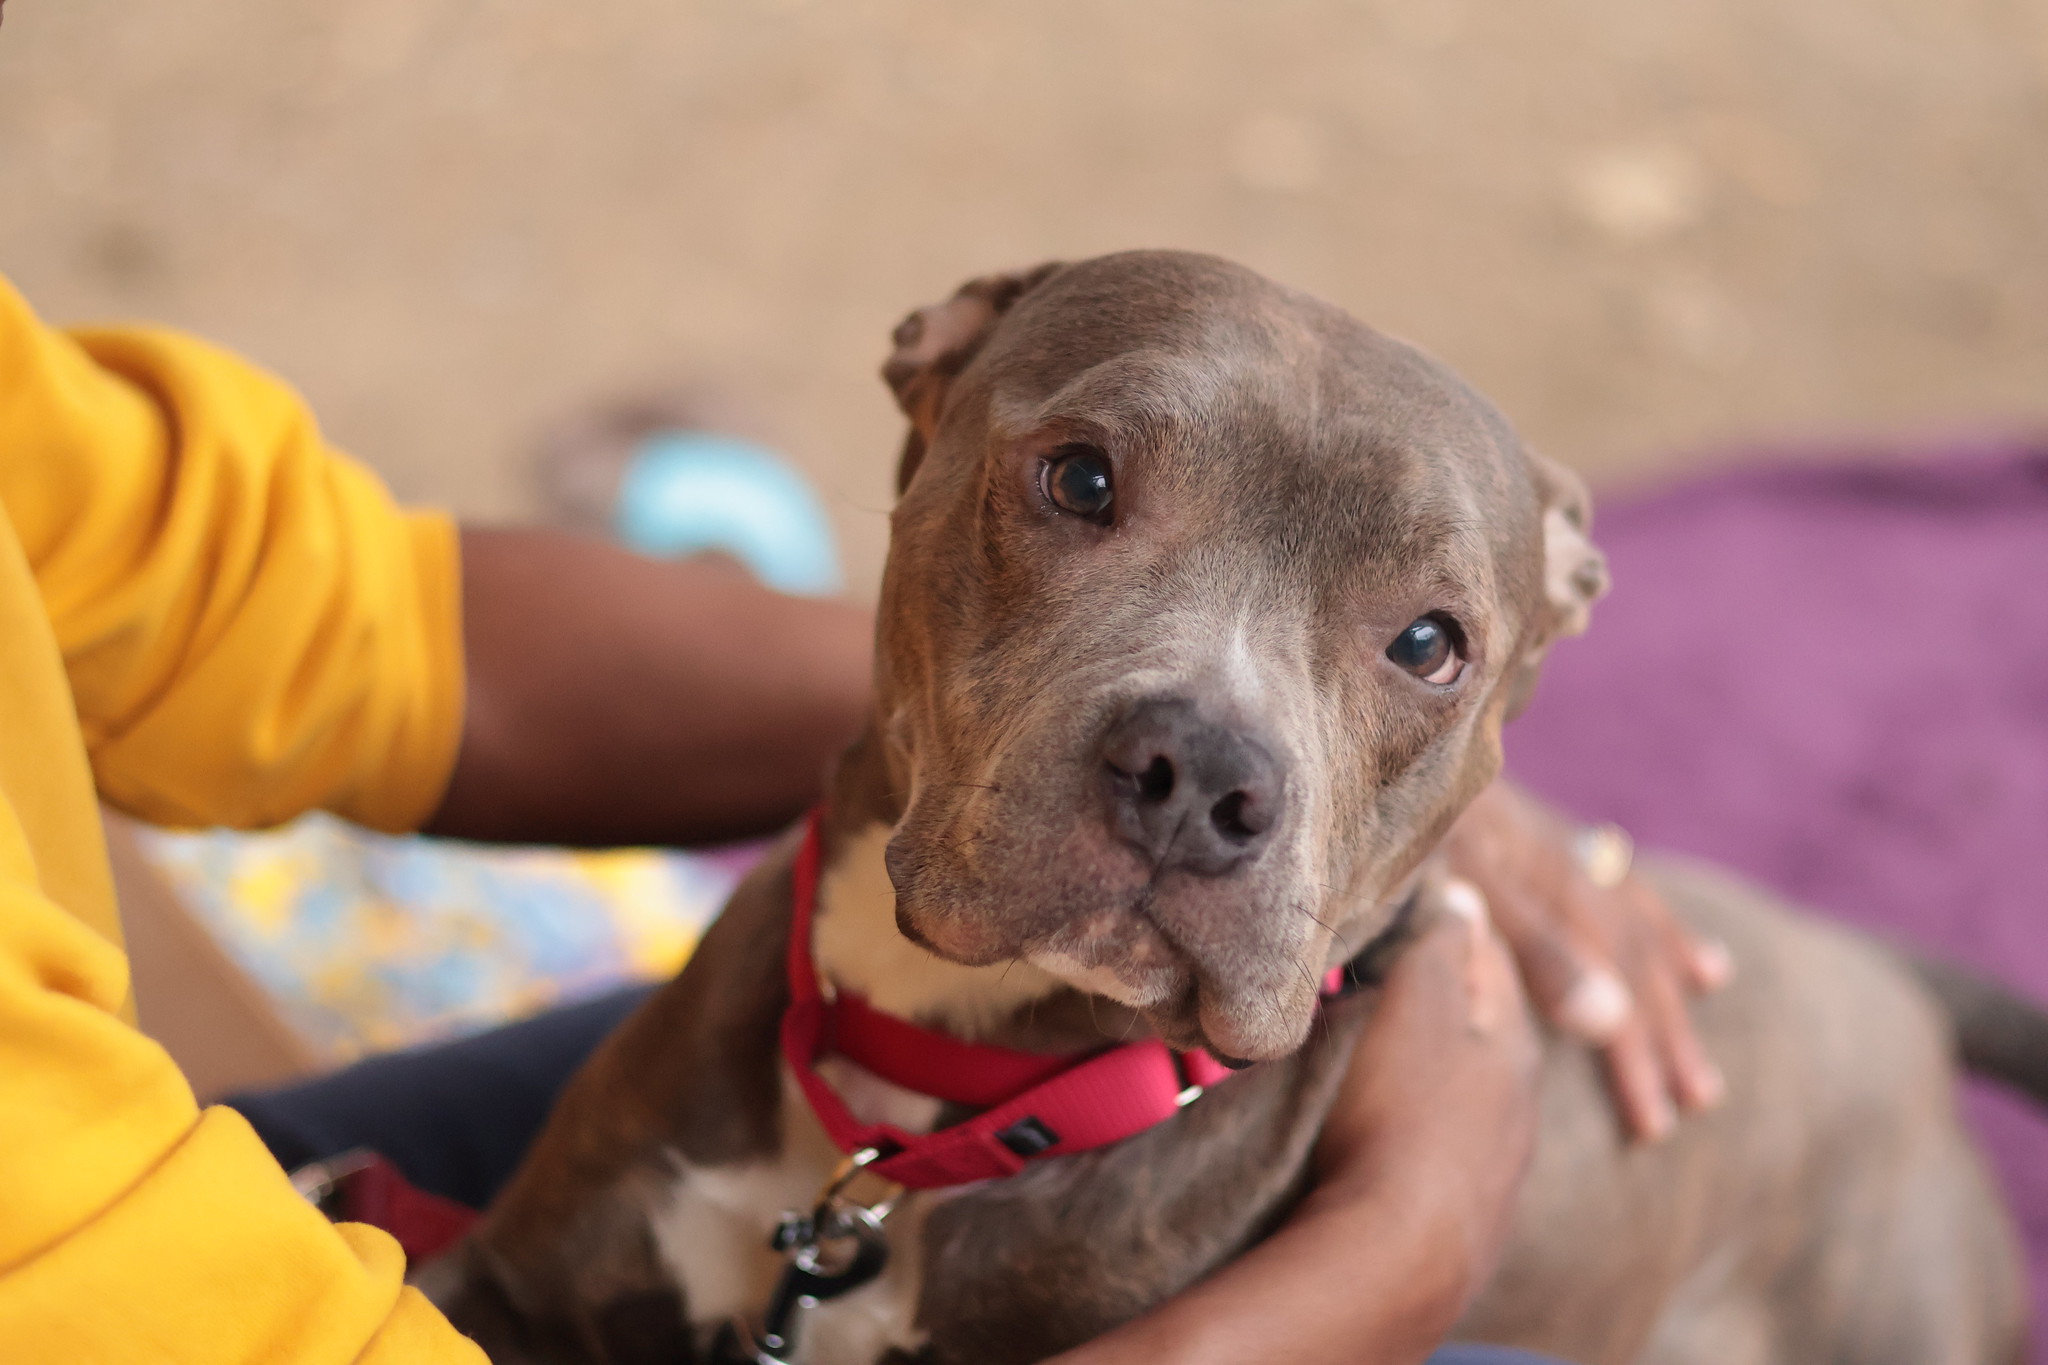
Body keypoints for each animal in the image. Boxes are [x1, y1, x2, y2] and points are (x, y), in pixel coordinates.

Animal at [421, 251, 2046, 1365]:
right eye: (1079, 480)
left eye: (1429, 642)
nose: (1200, 775)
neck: (924, 1105)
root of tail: (1877, 978)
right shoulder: (500, 1283)